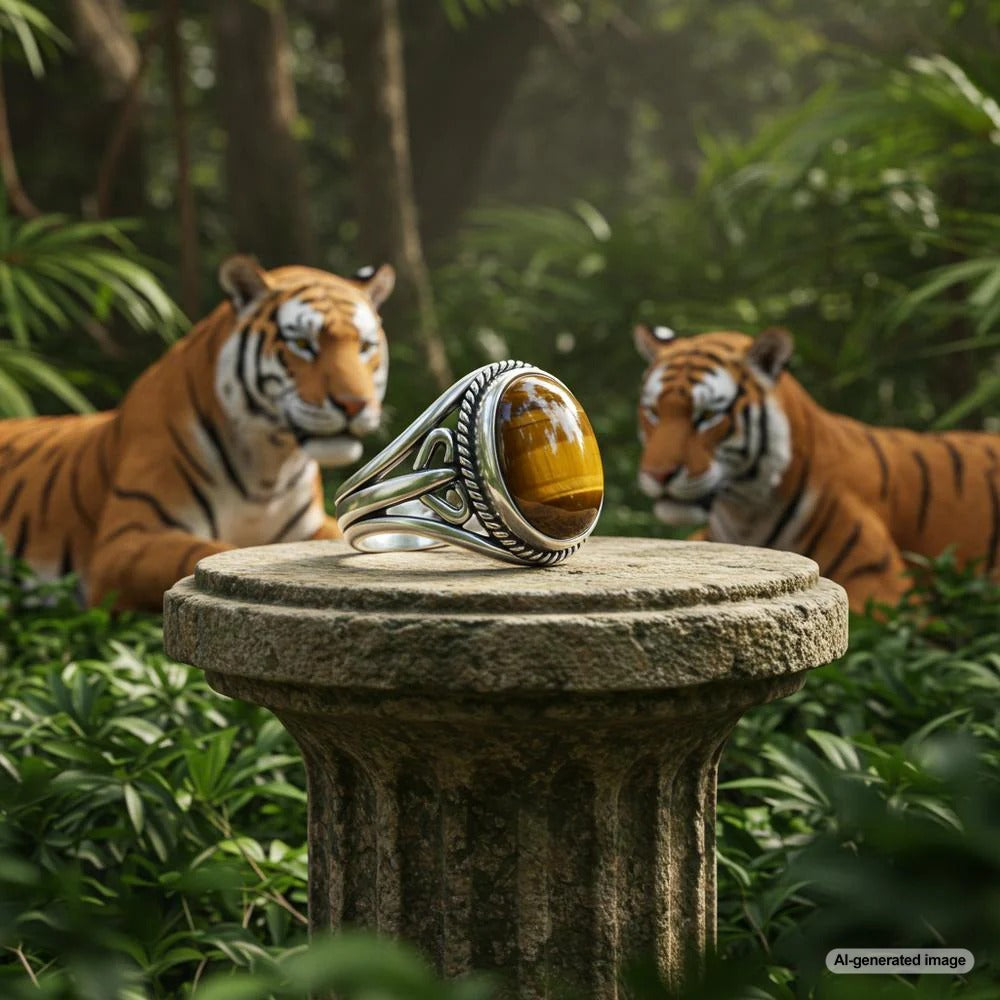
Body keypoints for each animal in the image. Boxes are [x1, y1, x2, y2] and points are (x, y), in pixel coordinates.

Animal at [0, 255, 395, 611]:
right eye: (302, 345)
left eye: (365, 347)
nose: (354, 405)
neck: (268, 464)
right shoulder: (123, 542)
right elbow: (212, 552)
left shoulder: (310, 527)